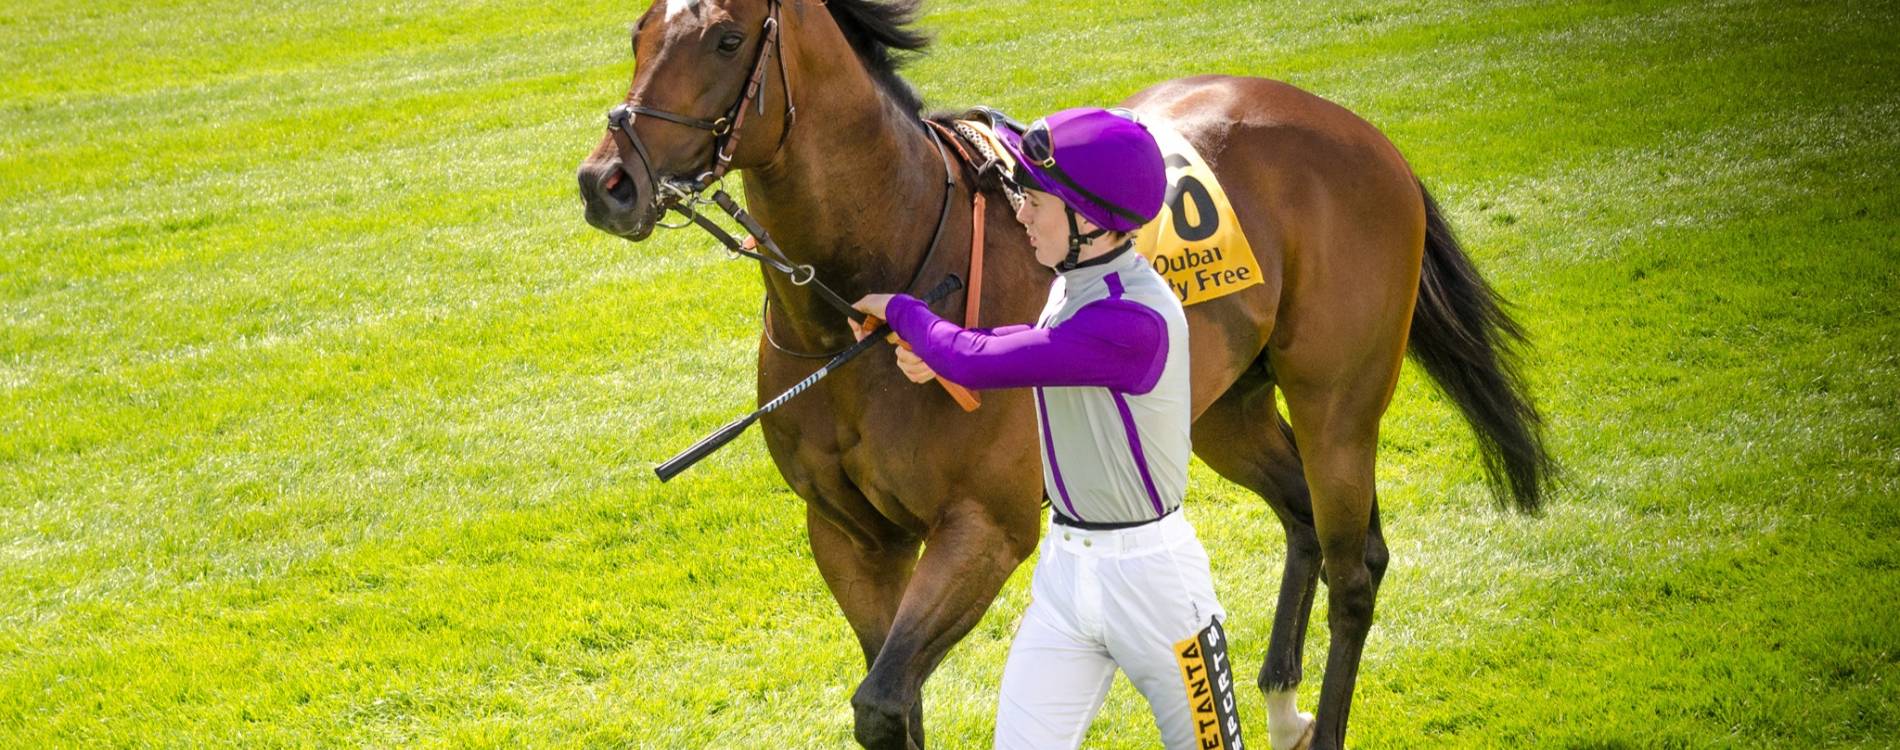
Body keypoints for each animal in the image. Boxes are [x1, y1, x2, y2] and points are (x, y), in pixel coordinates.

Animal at [575, 1, 1552, 748]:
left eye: (726, 39)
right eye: (638, 31)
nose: (606, 182)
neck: (879, 273)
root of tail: (1356, 128)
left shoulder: (985, 526)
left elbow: (885, 700)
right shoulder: (849, 534)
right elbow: (896, 699)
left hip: (1336, 402)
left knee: (1356, 564)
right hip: (1222, 410)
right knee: (1303, 518)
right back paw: (1280, 702)